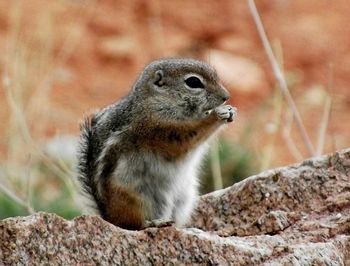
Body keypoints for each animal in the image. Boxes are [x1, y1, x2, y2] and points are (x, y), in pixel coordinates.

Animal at [75, 58, 237, 231]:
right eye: (193, 82)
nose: (226, 96)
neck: (157, 101)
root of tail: (109, 217)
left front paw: (230, 111)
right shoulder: (160, 128)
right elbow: (193, 132)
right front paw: (217, 115)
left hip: (183, 200)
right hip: (134, 197)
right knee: (135, 224)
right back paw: (155, 222)